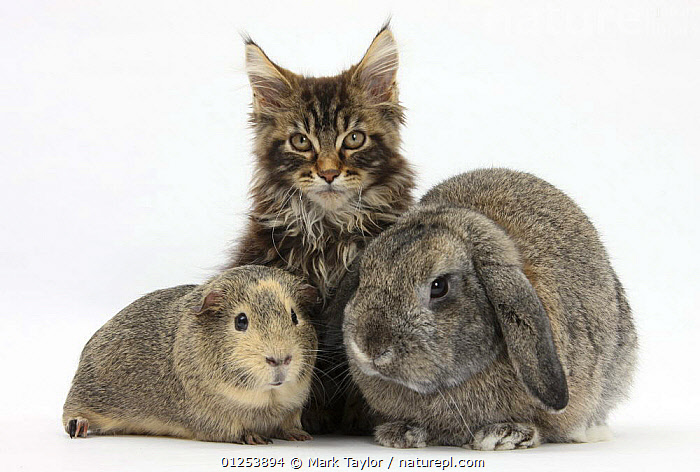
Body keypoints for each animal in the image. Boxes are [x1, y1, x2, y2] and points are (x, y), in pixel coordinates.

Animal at [63, 265, 318, 444]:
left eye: (294, 316)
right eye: (241, 320)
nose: (280, 359)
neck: (268, 401)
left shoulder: (292, 408)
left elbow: (288, 425)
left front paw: (302, 436)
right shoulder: (214, 419)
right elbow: (237, 430)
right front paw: (256, 438)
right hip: (82, 398)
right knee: (70, 414)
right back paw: (78, 427)